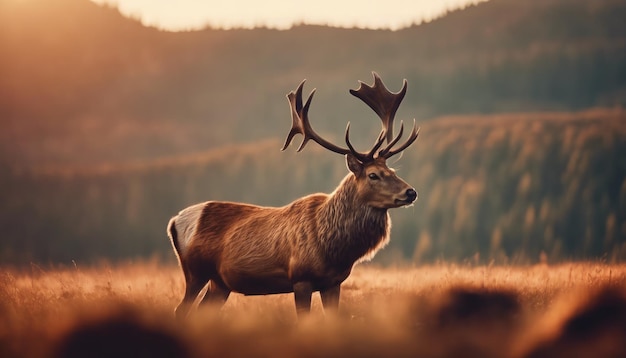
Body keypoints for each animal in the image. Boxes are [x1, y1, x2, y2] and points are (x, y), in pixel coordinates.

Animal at [167, 72, 420, 318]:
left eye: (393, 171)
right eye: (373, 175)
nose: (411, 192)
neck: (334, 249)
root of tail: (174, 221)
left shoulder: (333, 282)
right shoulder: (301, 278)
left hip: (219, 283)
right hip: (195, 271)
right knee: (181, 309)